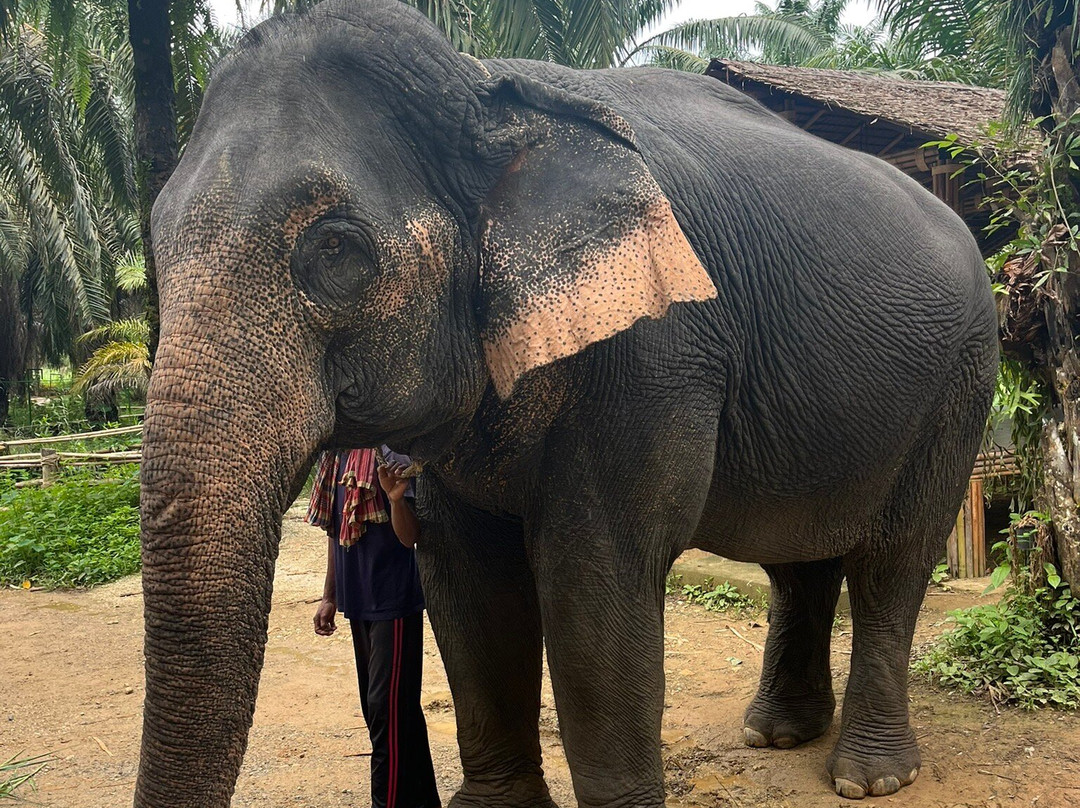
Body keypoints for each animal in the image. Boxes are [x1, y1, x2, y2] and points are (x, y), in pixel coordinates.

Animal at [134, 1, 998, 805]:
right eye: (154, 242)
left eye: (335, 249)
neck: (484, 89)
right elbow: (467, 580)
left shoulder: (655, 351)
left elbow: (593, 582)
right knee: (795, 558)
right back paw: (777, 734)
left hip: (962, 381)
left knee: (895, 561)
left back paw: (869, 776)